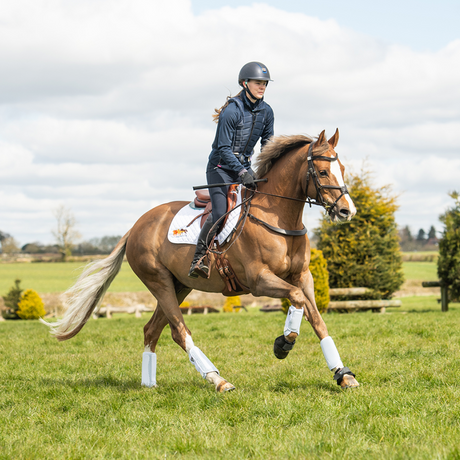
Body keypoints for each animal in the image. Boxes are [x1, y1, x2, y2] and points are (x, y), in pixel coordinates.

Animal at [41, 129, 360, 392]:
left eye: (342, 169)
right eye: (322, 172)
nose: (347, 211)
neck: (279, 218)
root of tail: (136, 226)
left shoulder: (303, 277)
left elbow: (316, 318)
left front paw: (342, 374)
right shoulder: (259, 280)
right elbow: (297, 300)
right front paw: (284, 343)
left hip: (179, 285)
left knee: (152, 330)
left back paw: (148, 383)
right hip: (159, 282)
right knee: (180, 331)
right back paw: (217, 379)